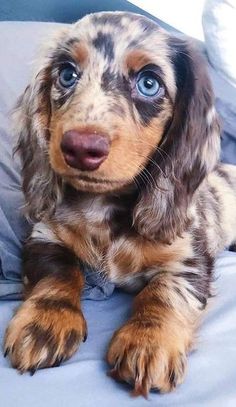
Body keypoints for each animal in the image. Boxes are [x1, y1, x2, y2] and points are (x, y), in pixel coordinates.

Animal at [4, 10, 236, 398]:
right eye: (67, 74)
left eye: (149, 83)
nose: (81, 147)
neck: (104, 207)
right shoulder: (44, 235)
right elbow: (58, 272)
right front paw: (45, 321)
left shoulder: (190, 259)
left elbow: (163, 292)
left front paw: (149, 341)